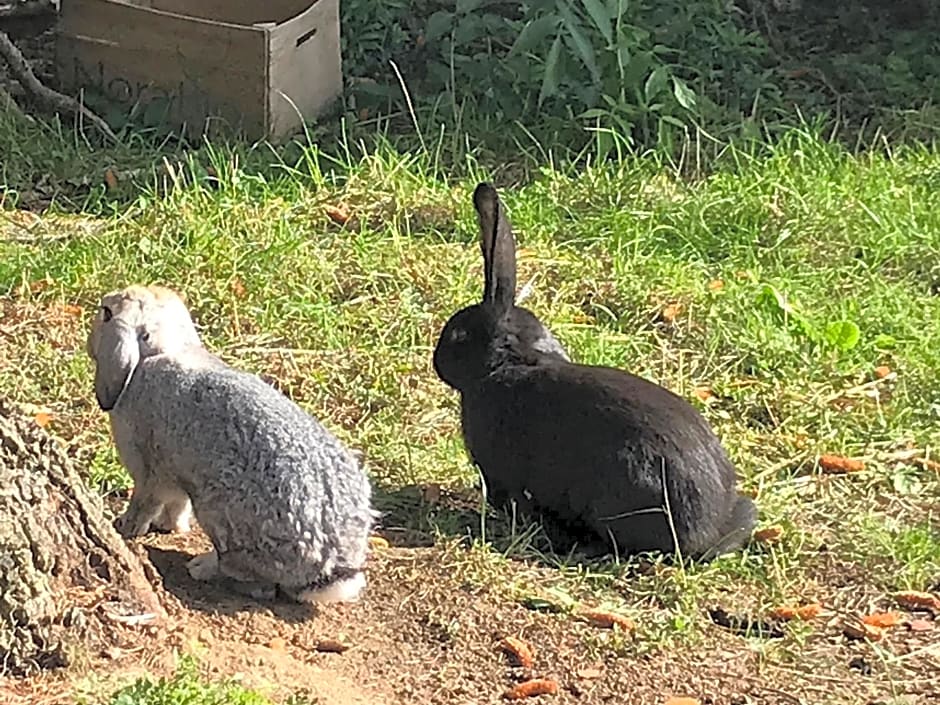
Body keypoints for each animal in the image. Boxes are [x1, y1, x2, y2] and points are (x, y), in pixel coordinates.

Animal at [87, 284, 374, 604]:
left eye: (107, 313)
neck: (160, 352)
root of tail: (328, 565)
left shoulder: (148, 471)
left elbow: (144, 504)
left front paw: (125, 528)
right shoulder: (178, 475)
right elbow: (177, 505)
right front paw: (169, 526)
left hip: (220, 515)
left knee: (257, 584)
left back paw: (201, 567)